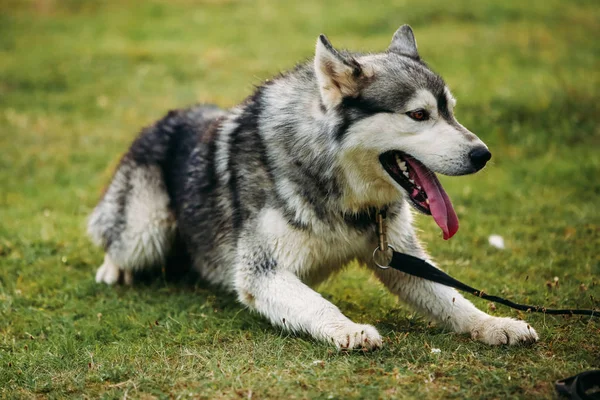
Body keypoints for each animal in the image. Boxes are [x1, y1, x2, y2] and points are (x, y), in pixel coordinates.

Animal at [88, 26, 540, 348]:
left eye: (451, 112)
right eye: (419, 114)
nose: (482, 154)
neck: (337, 182)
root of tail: (161, 120)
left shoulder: (399, 256)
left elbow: (453, 299)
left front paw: (495, 323)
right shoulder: (262, 271)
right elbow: (316, 303)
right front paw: (347, 329)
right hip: (145, 229)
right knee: (116, 241)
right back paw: (113, 269)